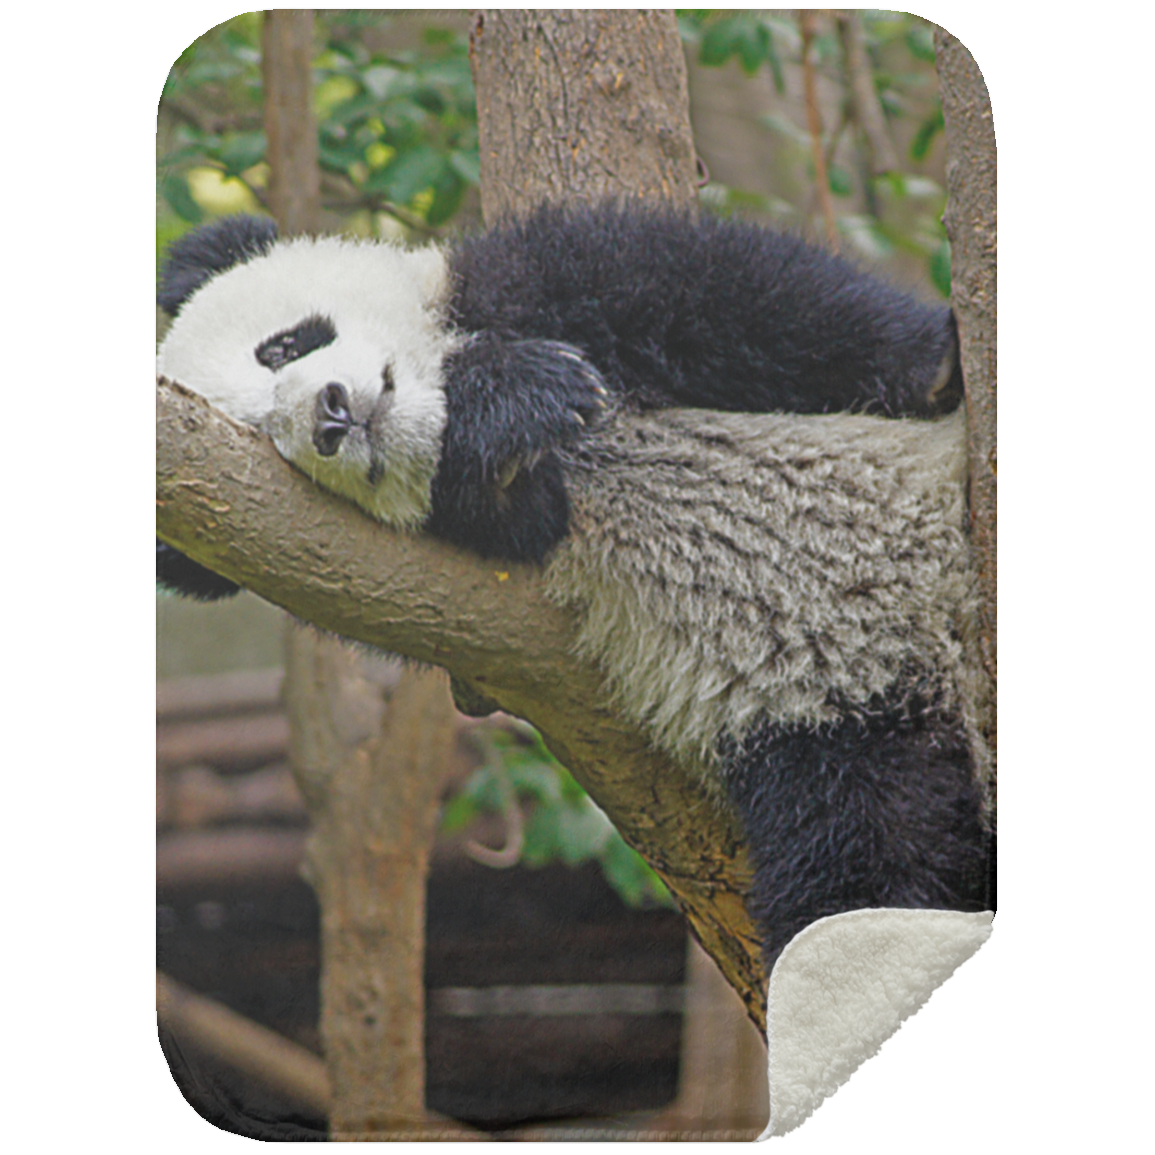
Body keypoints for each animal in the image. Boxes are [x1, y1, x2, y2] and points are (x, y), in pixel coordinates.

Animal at [156, 204, 990, 974]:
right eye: (268, 439)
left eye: (283, 345)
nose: (330, 416)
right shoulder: (417, 557)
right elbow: (513, 504)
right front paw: (505, 398)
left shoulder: (521, 283)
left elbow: (715, 292)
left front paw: (933, 360)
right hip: (830, 718)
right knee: (863, 868)